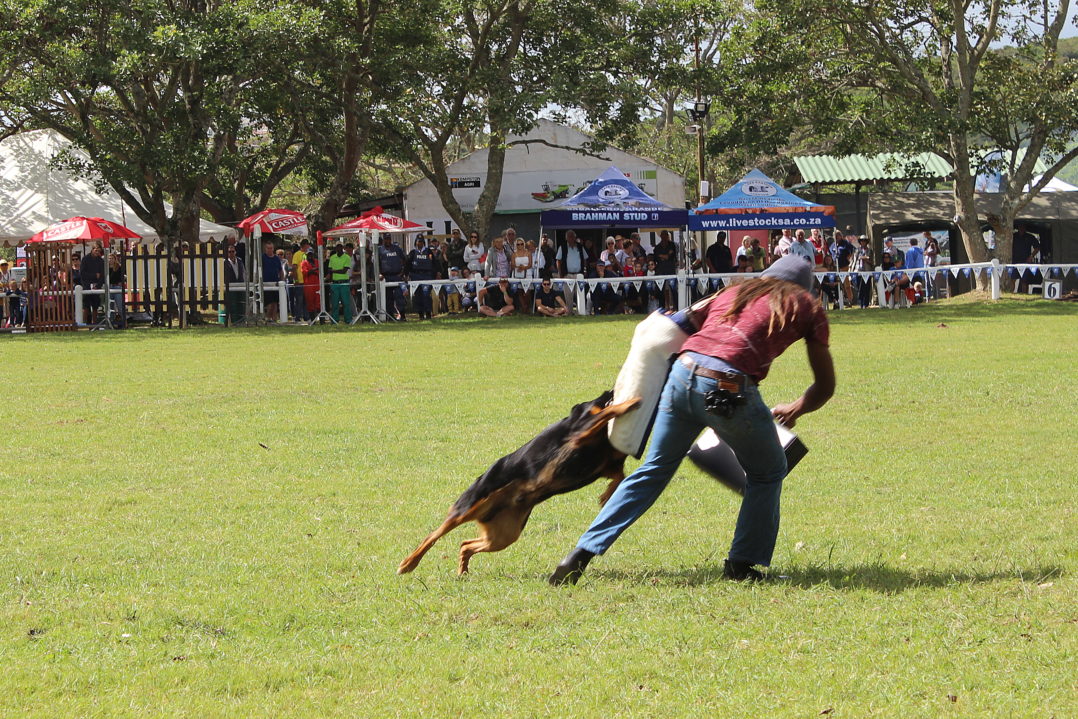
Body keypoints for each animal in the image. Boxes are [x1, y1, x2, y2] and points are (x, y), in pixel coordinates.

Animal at [403, 390, 638, 577]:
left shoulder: (606, 464)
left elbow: (620, 475)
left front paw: (607, 495)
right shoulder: (582, 430)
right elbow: (609, 411)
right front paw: (631, 402)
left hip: (503, 535)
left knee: (465, 545)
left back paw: (463, 571)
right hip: (467, 507)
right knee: (432, 536)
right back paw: (408, 564)